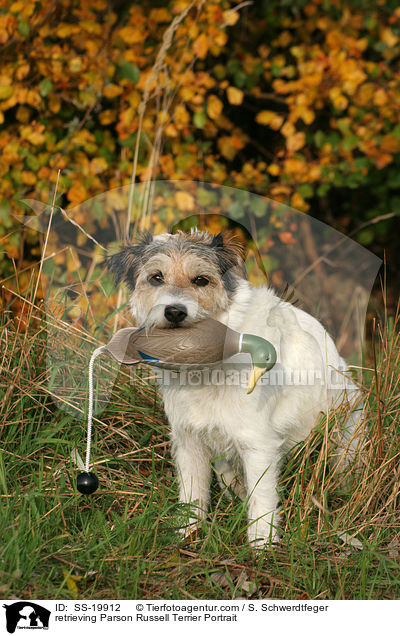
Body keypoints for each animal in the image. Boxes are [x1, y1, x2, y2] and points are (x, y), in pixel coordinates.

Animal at [107, 231, 362, 548]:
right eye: (156, 277)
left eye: (201, 280)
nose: (175, 312)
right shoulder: (188, 441)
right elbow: (192, 495)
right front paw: (188, 535)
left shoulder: (259, 445)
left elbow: (262, 500)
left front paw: (261, 546)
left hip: (345, 440)